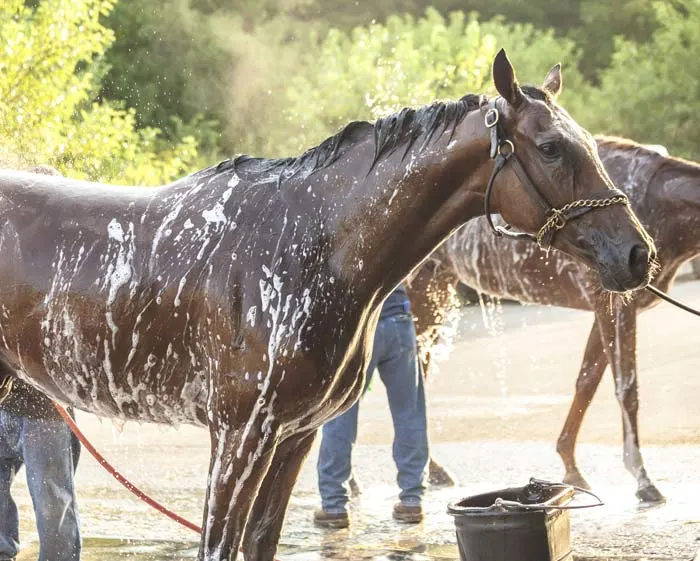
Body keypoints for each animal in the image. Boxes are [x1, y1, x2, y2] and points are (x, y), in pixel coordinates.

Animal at [410, 137, 700, 508]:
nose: (638, 256)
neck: (655, 203)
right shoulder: (617, 306)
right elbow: (626, 388)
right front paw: (643, 480)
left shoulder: (604, 309)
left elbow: (586, 382)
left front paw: (571, 467)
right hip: (418, 291)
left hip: (437, 289)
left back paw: (432, 470)